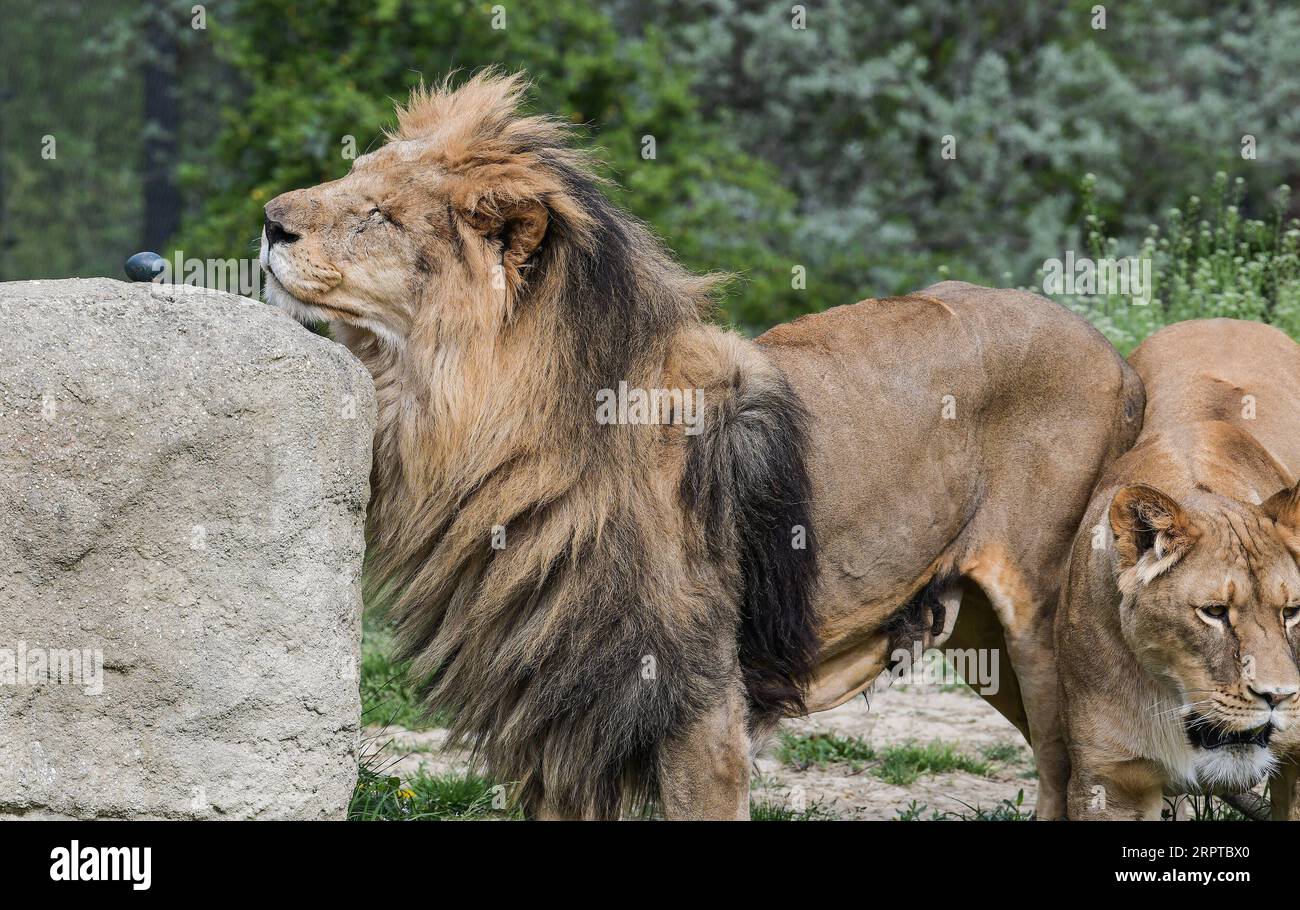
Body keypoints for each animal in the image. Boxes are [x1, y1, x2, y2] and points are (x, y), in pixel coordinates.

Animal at [261, 71, 1138, 816]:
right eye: (353, 177)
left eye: (380, 215)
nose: (270, 220)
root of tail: (1112, 353)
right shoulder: (550, 710)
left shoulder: (697, 703)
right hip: (983, 638)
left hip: (1044, 631)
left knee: (1074, 777)